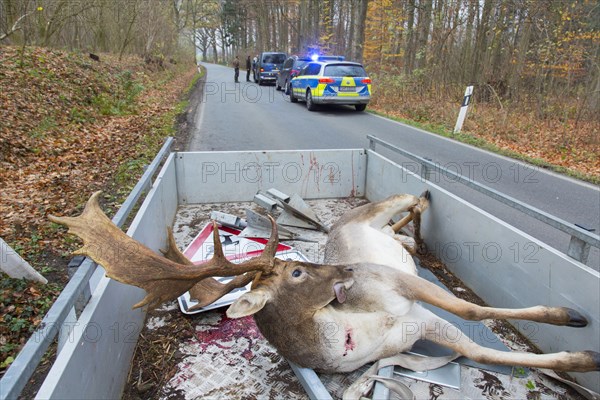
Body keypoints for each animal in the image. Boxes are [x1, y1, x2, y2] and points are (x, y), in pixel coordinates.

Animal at [49, 193, 596, 396]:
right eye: (294, 271)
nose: (346, 271)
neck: (354, 334)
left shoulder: (398, 286)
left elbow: (470, 307)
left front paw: (571, 317)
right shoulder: (413, 323)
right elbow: (477, 345)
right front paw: (583, 358)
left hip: (375, 224)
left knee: (406, 199)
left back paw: (424, 198)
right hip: (384, 238)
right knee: (402, 229)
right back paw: (416, 223)